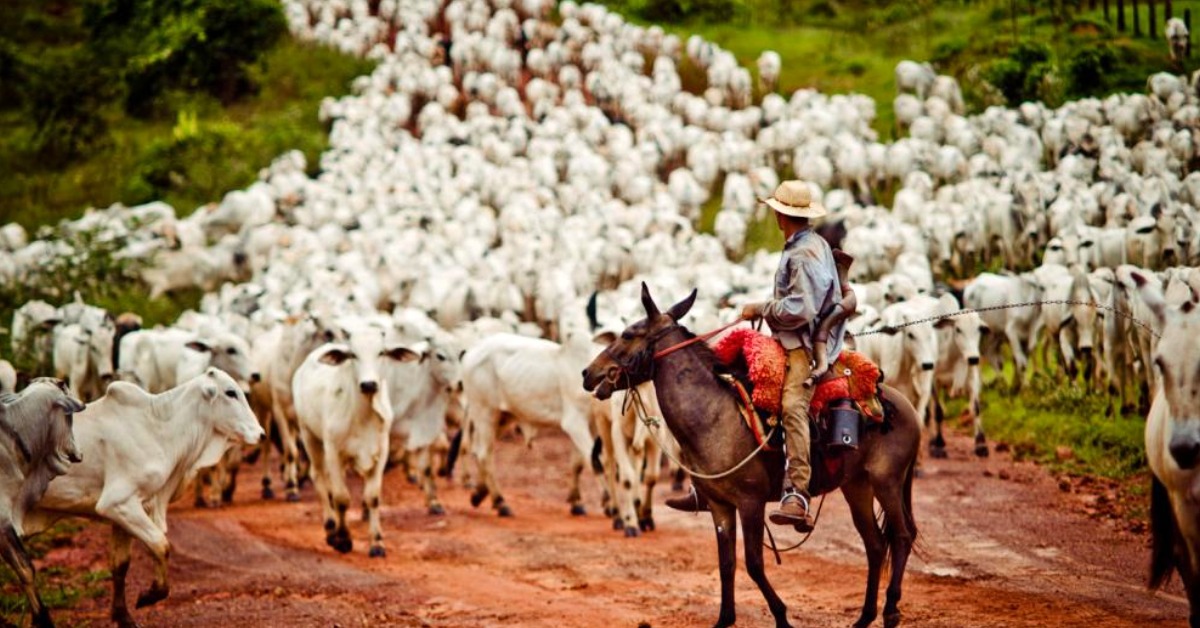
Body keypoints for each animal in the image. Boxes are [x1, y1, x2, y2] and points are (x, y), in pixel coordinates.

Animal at [25, 372, 262, 628]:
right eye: (230, 392)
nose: (261, 433)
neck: (158, 428)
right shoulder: (118, 504)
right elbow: (161, 545)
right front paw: (150, 595)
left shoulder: (122, 515)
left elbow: (120, 565)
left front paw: (123, 616)